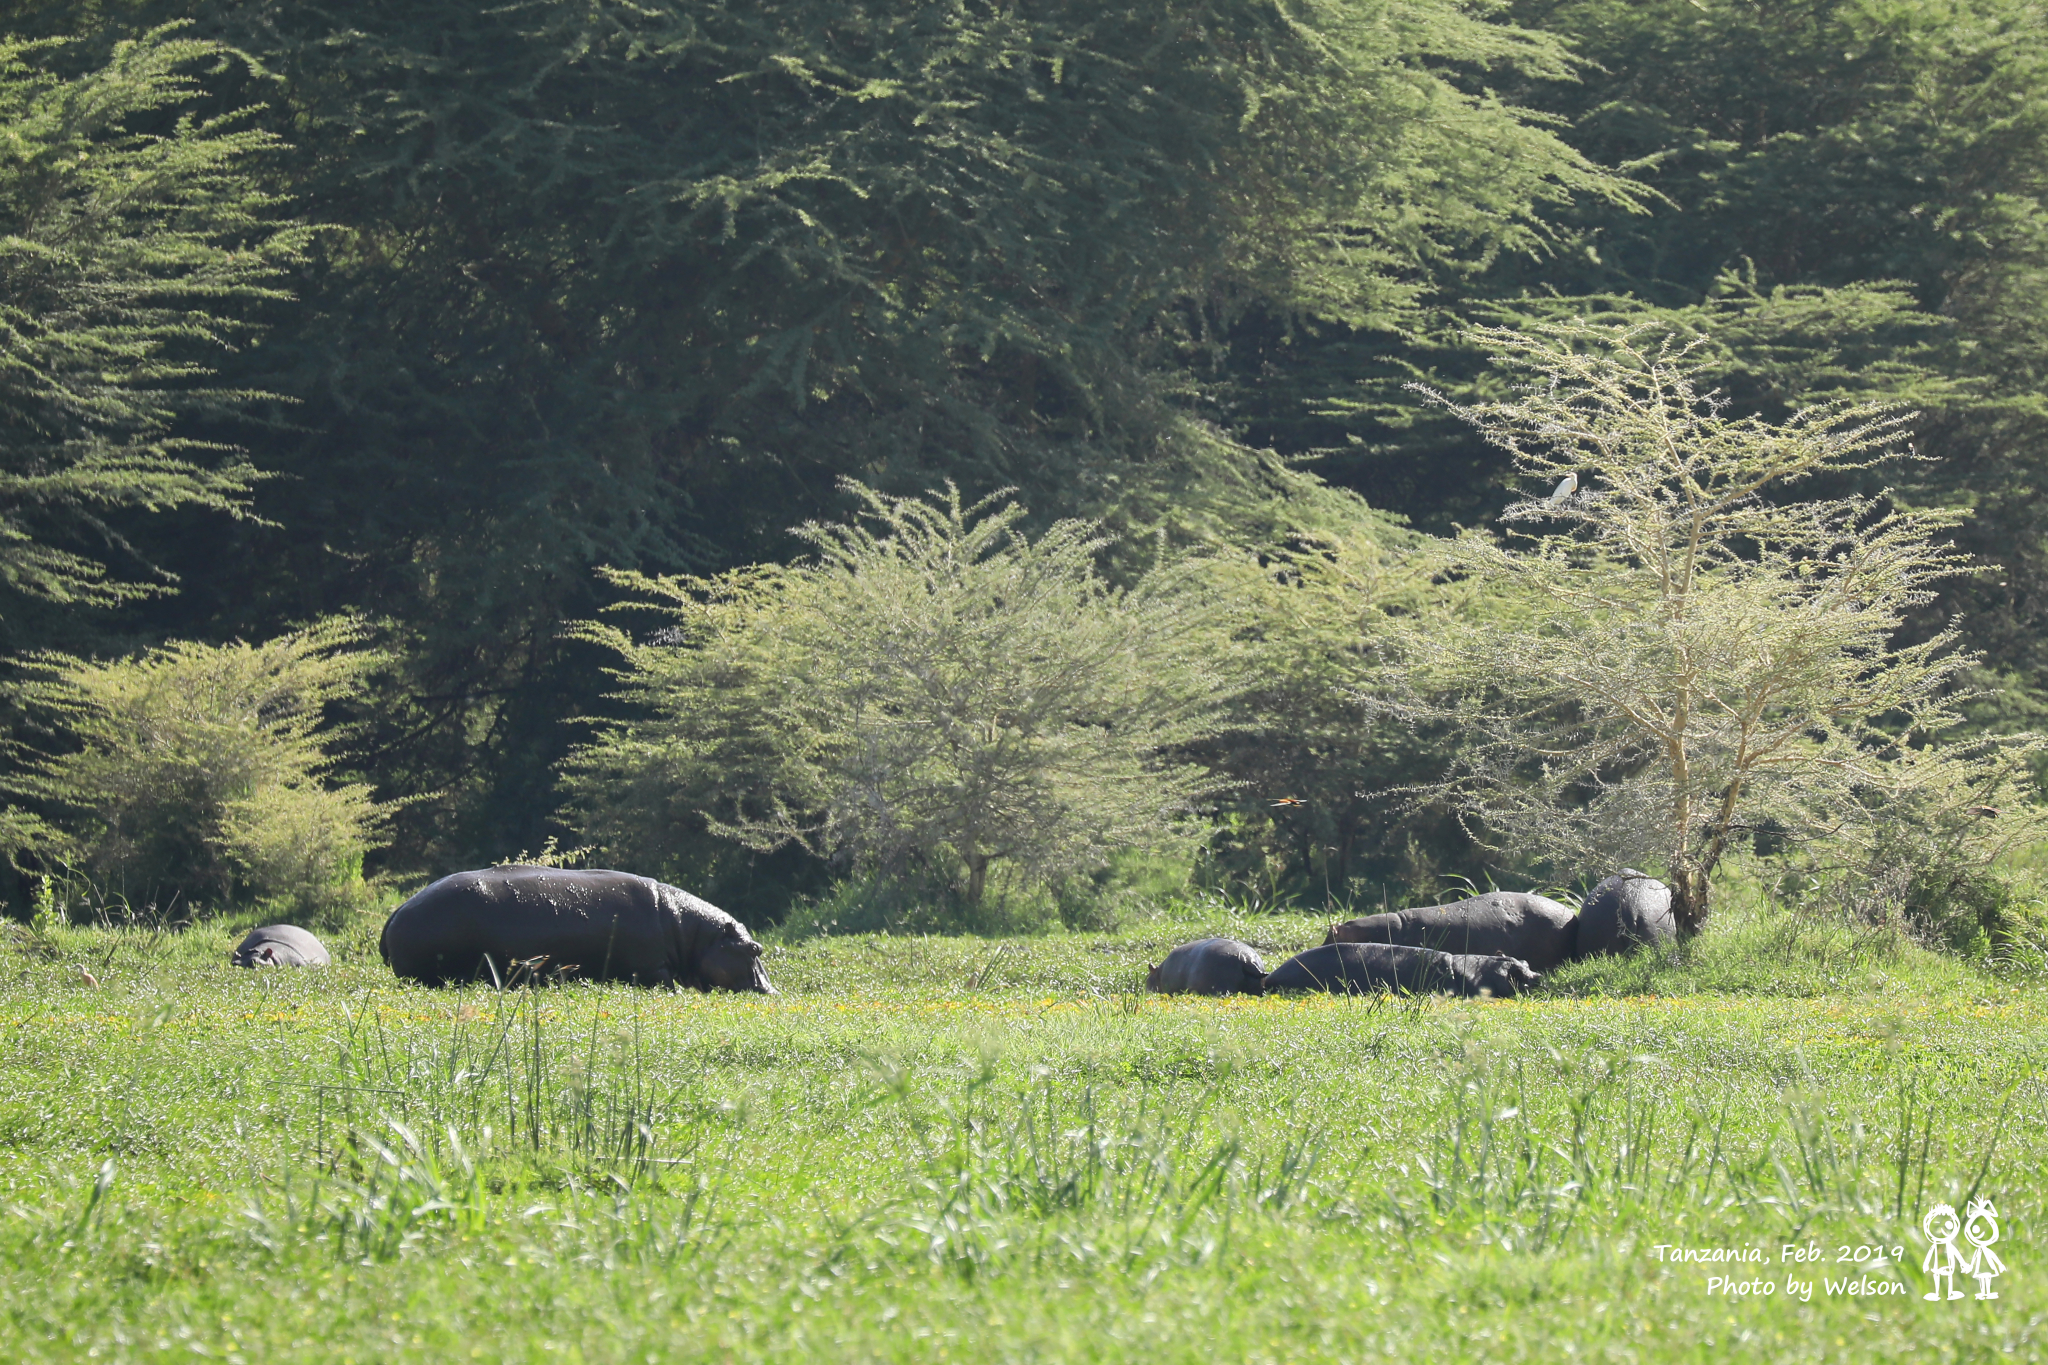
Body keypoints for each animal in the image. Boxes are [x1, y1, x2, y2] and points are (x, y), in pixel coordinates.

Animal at [378, 863, 774, 994]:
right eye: (755, 949)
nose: (773, 991)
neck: (693, 933)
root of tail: (395, 912)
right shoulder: (653, 969)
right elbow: (666, 985)